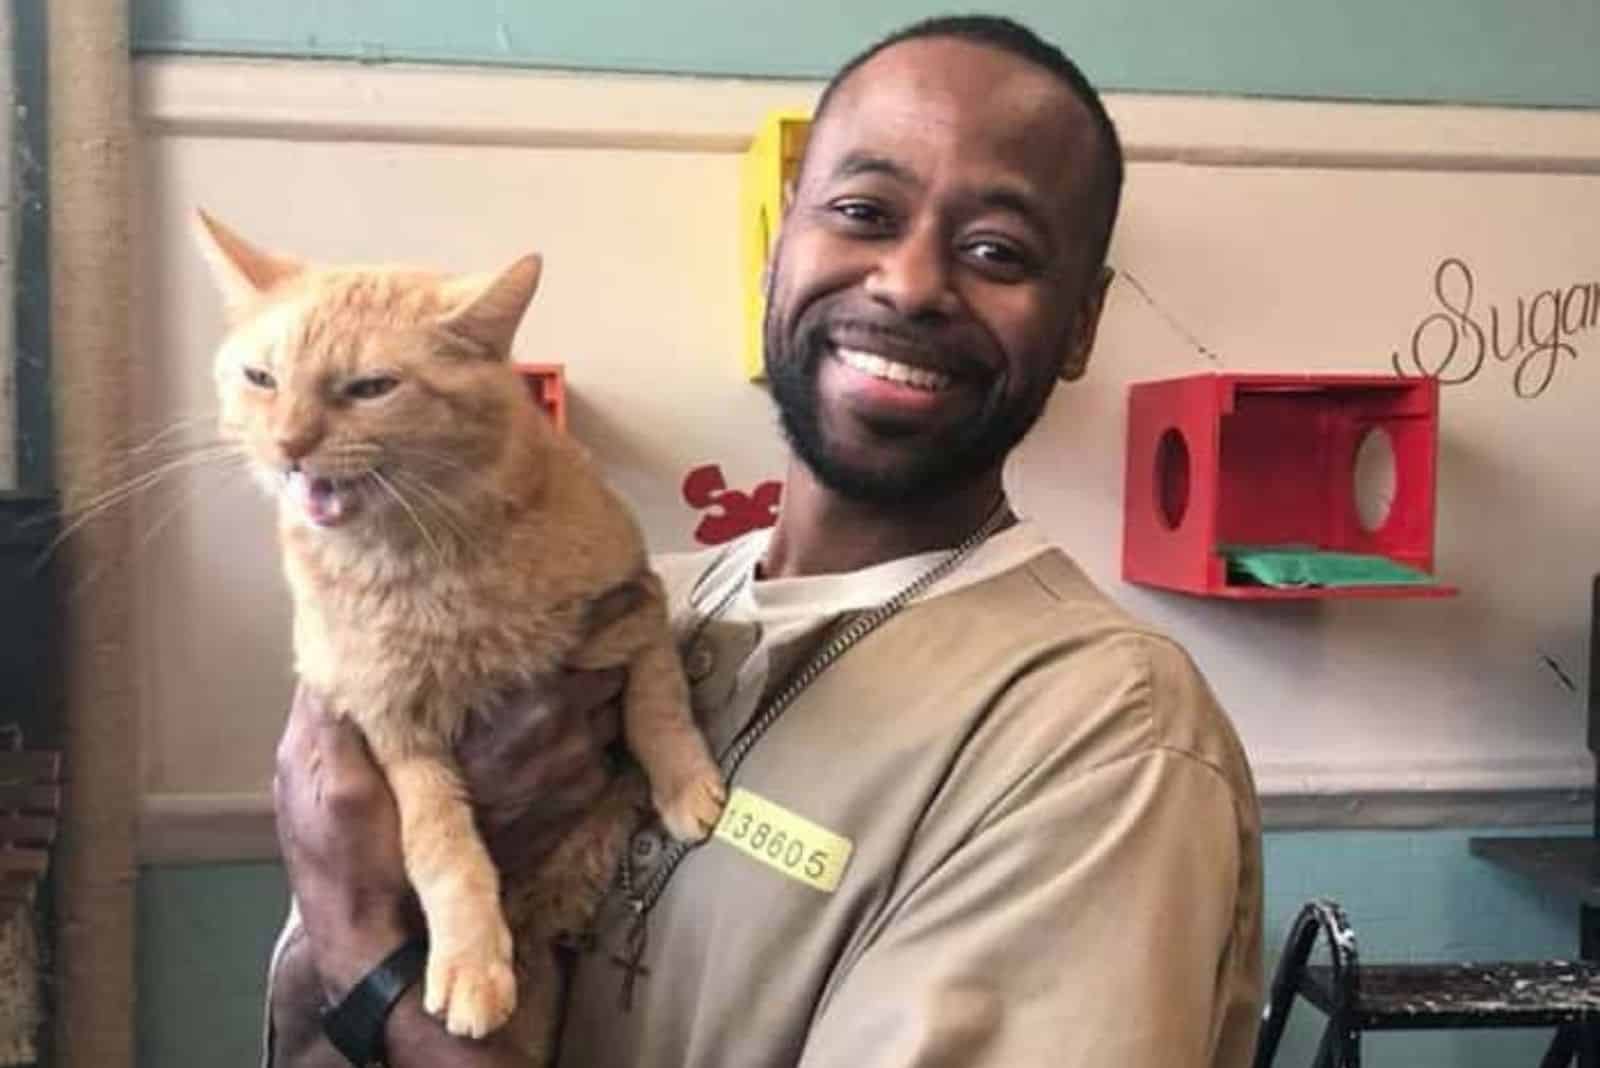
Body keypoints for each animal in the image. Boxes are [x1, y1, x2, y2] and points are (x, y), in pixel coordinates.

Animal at [190, 212, 729, 1055]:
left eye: (371, 388)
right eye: (261, 378)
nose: (290, 446)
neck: (431, 559)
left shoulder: (632, 603)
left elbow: (659, 697)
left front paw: (684, 782)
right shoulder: (394, 725)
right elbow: (443, 845)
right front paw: (471, 965)